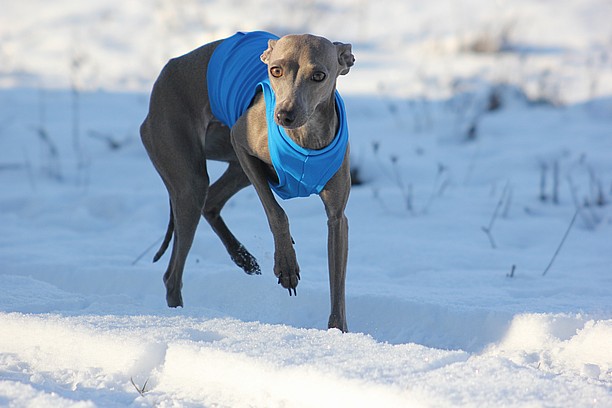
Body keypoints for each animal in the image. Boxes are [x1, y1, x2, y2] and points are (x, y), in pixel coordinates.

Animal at [140, 31, 354, 332]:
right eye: (275, 71)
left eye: (319, 76)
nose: (284, 115)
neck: (305, 137)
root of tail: (167, 70)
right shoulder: (241, 144)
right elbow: (276, 212)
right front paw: (286, 264)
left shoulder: (337, 218)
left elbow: (338, 285)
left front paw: (338, 333)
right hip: (191, 175)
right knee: (172, 274)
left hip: (230, 167)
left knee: (211, 202)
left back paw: (243, 258)